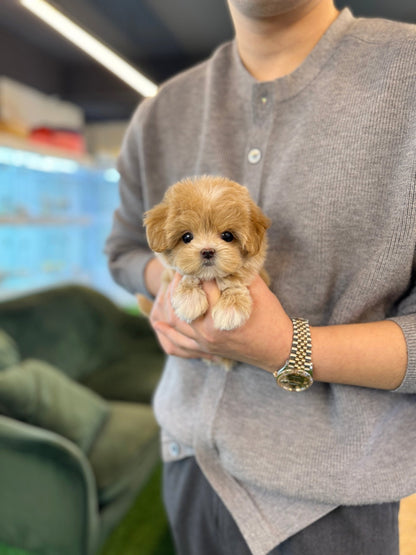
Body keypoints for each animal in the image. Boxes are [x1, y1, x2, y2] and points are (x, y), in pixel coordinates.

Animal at [140, 176, 270, 336]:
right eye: (187, 237)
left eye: (227, 236)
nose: (207, 251)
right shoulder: (168, 276)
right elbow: (187, 275)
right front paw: (189, 299)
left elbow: (236, 278)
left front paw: (231, 306)